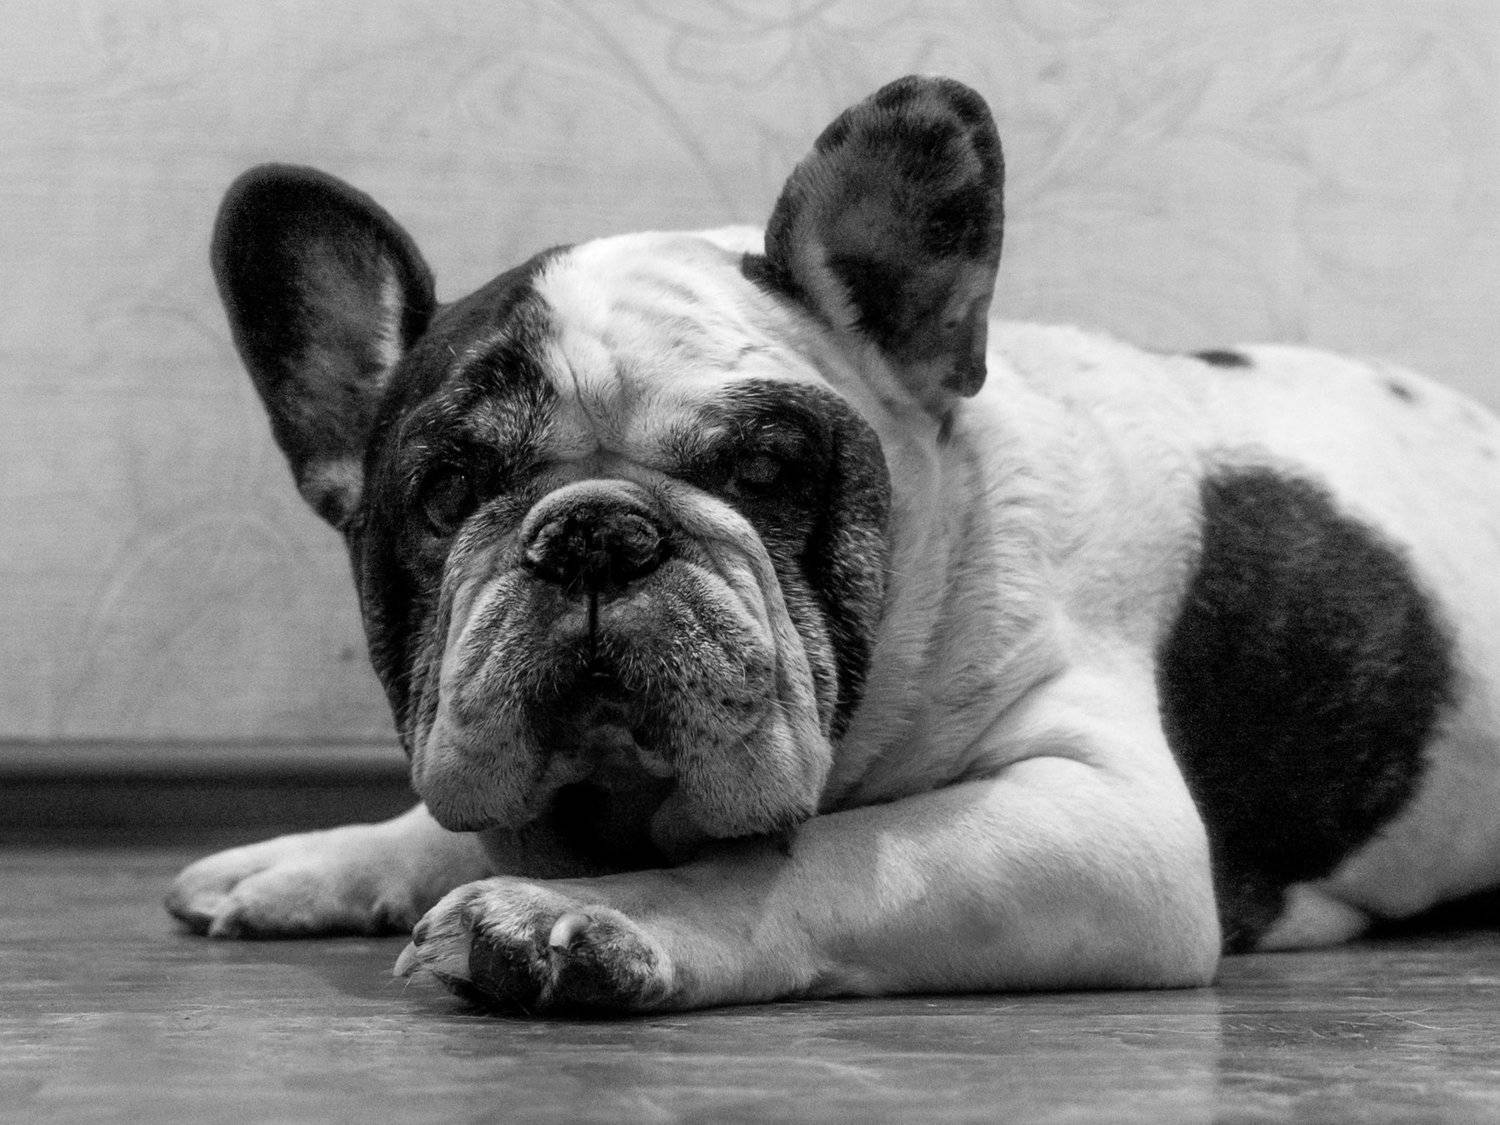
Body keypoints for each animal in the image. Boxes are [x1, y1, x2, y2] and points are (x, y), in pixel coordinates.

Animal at [167, 75, 1500, 1014]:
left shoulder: (1103, 818)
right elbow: (442, 818)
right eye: (448, 494)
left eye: (766, 473)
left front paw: (586, 920)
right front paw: (317, 860)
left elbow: (808, 860)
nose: (597, 530)